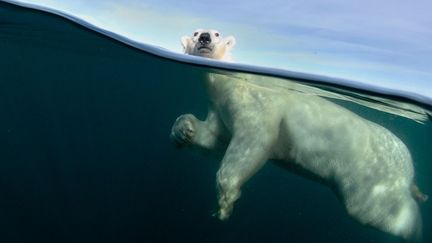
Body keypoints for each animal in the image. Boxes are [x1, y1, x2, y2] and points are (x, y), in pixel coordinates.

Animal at [170, 29, 424, 242]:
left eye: (216, 33)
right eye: (195, 32)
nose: (204, 37)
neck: (230, 80)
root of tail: (407, 167)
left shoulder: (257, 101)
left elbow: (254, 139)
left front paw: (225, 202)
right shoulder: (220, 107)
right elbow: (215, 138)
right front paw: (183, 131)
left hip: (368, 175)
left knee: (373, 210)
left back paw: (416, 225)